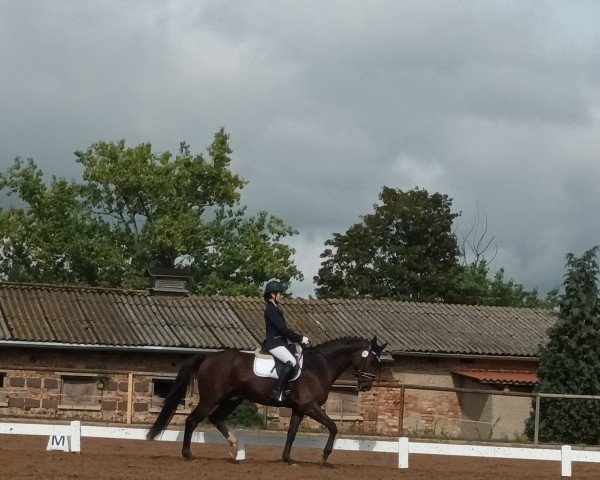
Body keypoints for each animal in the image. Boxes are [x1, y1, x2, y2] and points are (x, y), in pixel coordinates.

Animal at [148, 336, 386, 464]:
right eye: (372, 361)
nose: (366, 387)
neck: (320, 366)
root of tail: (208, 356)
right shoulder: (310, 406)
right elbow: (333, 426)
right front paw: (325, 455)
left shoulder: (299, 409)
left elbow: (291, 433)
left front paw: (287, 458)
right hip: (211, 397)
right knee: (192, 420)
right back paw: (188, 454)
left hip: (232, 399)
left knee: (215, 419)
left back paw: (234, 445)